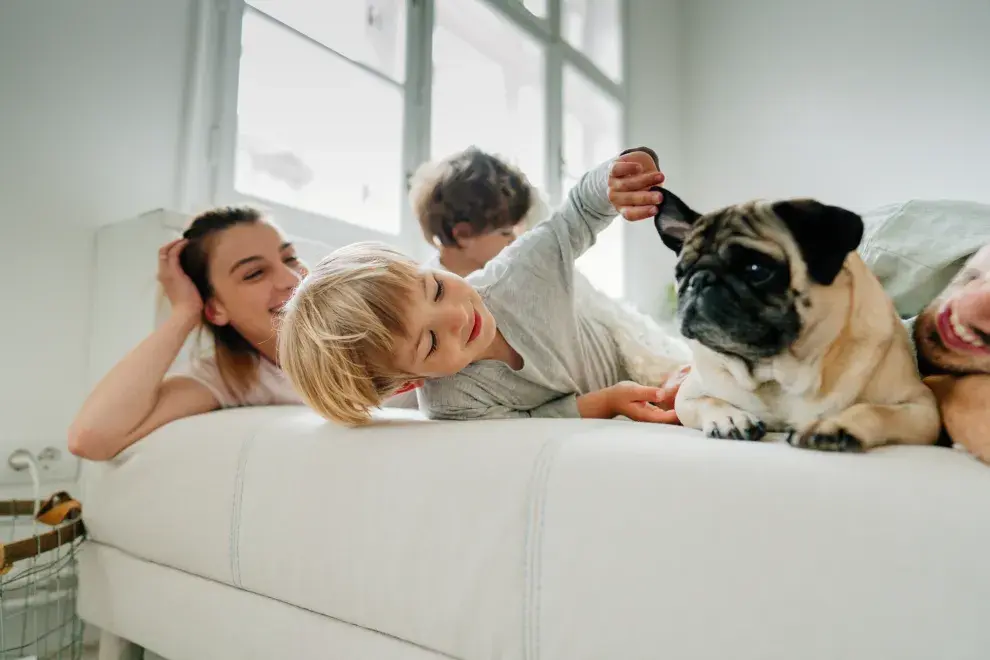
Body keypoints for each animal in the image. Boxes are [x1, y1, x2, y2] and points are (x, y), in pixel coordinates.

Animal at [656, 188, 940, 452]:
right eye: (680, 273)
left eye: (756, 270)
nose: (699, 280)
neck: (775, 373)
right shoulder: (687, 396)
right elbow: (708, 400)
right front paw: (730, 418)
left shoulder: (922, 408)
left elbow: (874, 410)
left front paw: (834, 424)